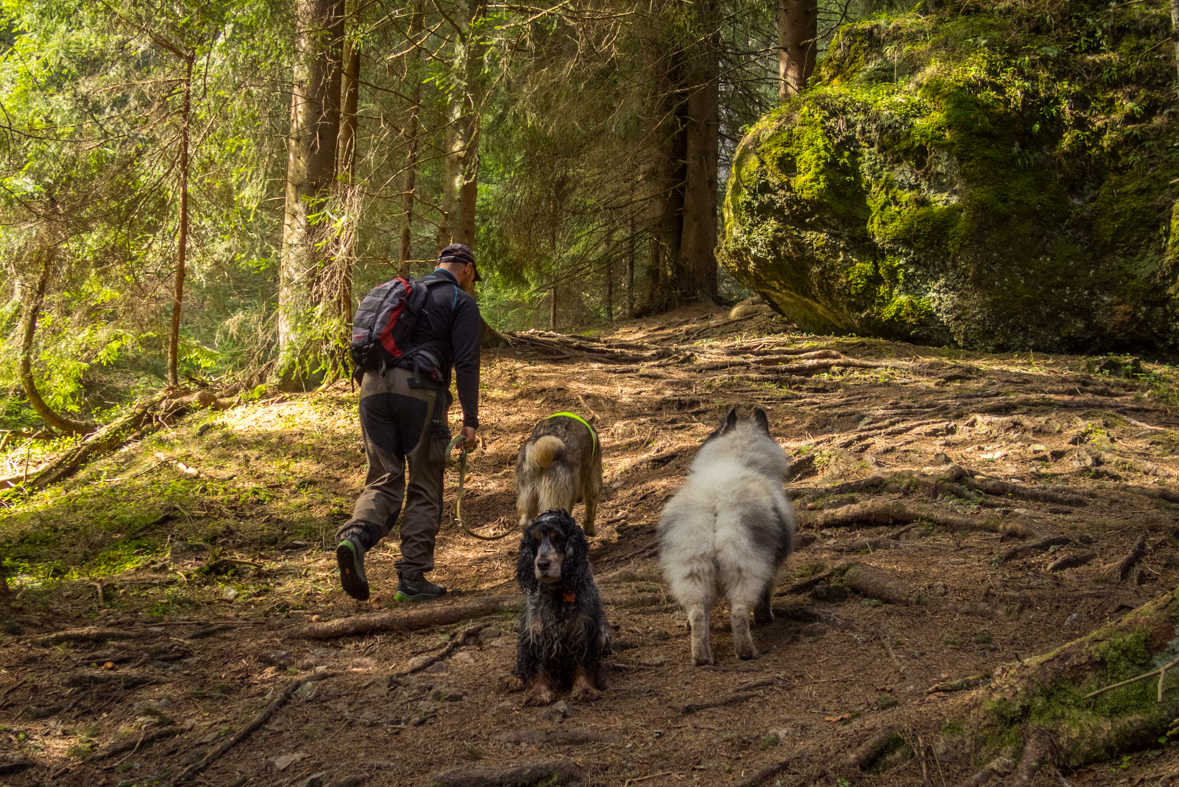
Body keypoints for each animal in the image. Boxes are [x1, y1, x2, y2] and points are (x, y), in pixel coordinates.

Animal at [660, 405, 797, 664]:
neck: (737, 459)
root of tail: (717, 502)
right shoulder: (773, 567)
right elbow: (766, 595)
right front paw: (766, 617)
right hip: (744, 567)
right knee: (739, 613)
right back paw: (746, 652)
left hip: (692, 569)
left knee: (698, 614)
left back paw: (702, 657)